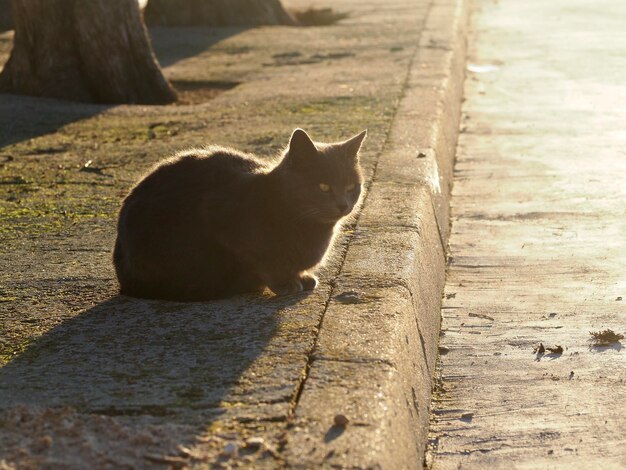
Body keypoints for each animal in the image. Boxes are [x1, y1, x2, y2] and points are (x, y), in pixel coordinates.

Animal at [112, 127, 366, 302]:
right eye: (323, 186)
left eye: (351, 186)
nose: (343, 205)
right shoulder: (223, 220)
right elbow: (264, 262)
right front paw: (286, 283)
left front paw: (302, 277)